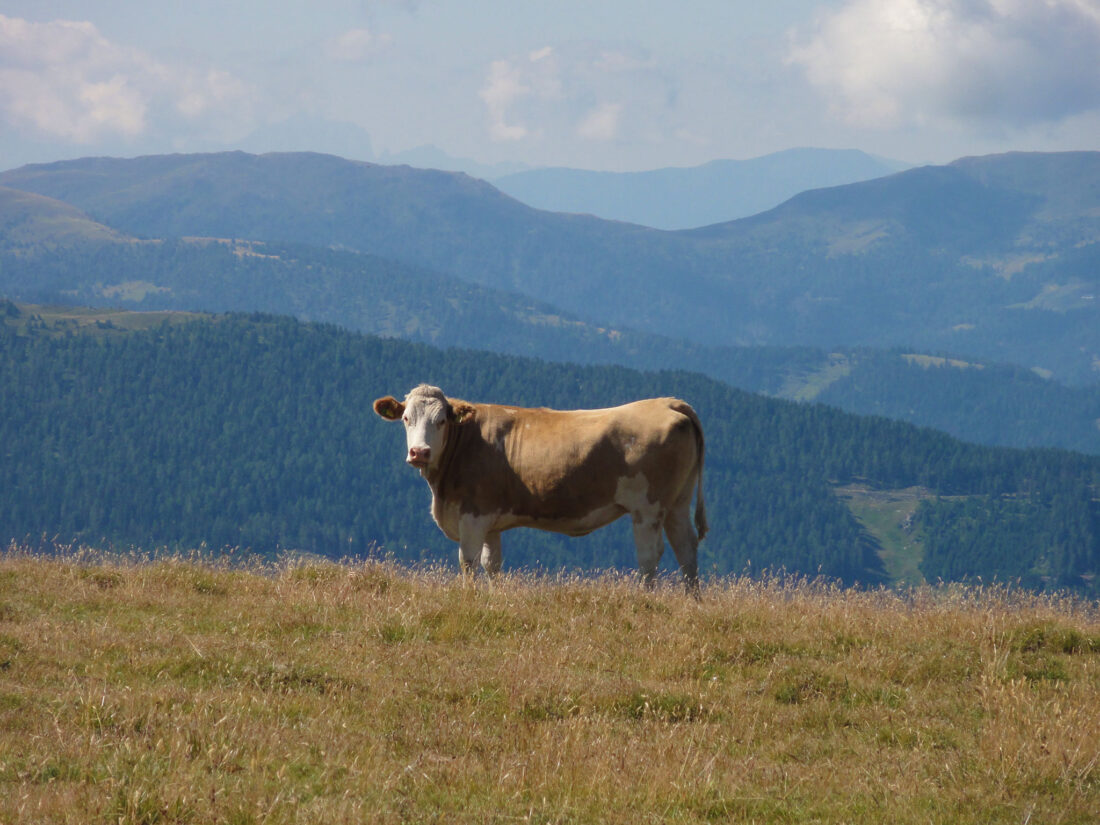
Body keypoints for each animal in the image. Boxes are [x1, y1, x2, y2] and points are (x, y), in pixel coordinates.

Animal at [374, 387, 708, 594]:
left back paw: (644, 598)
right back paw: (692, 601)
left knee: (650, 555)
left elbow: (468, 561)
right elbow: (492, 564)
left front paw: (469, 596)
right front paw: (494, 597)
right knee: (685, 547)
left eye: (441, 420)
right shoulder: (490, 519)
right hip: (678, 501)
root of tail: (667, 402)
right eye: (406, 419)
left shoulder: (472, 514)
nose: (420, 452)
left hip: (647, 506)